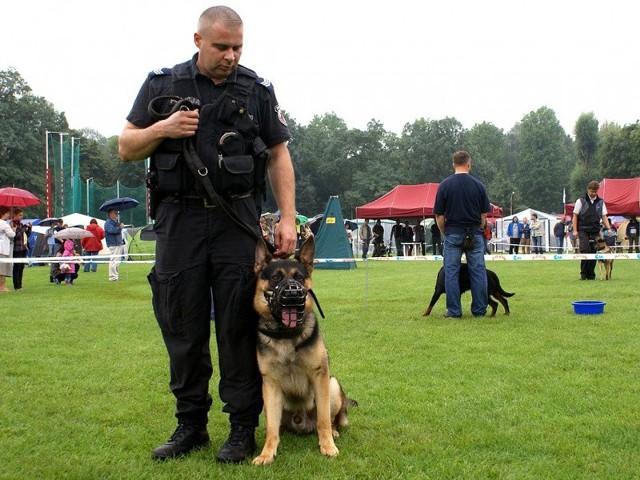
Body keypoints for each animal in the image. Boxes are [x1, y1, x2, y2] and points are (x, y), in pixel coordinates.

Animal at [252, 237, 358, 464]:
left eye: (299, 277)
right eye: (276, 277)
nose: (292, 294)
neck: (287, 336)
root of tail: (300, 421)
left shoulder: (320, 377)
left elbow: (323, 420)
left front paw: (327, 446)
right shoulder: (270, 384)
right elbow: (271, 428)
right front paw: (267, 453)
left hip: (332, 385)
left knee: (331, 419)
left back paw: (333, 432)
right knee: (278, 425)